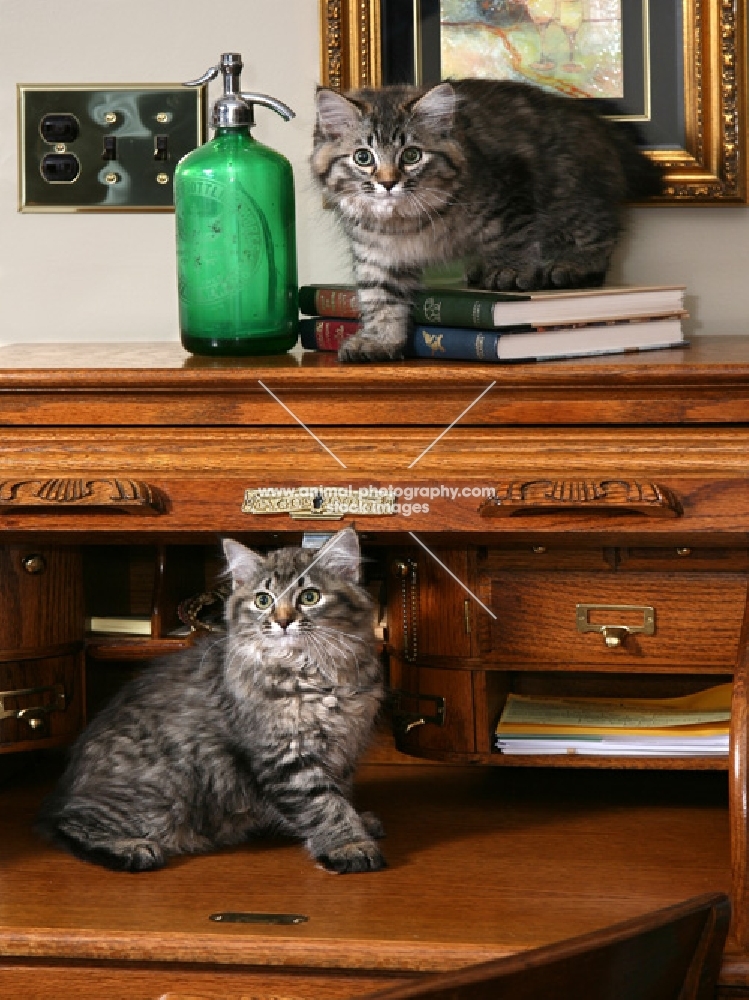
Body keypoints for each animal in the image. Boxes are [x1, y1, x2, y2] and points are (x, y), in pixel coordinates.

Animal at [36, 532, 386, 876]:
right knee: (67, 823)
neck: (316, 675)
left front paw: (358, 823)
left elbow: (339, 794)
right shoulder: (285, 756)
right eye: (263, 600)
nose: (283, 621)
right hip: (160, 797)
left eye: (310, 597)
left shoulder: (344, 749)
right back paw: (131, 848)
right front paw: (348, 845)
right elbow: (323, 805)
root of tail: (65, 787)